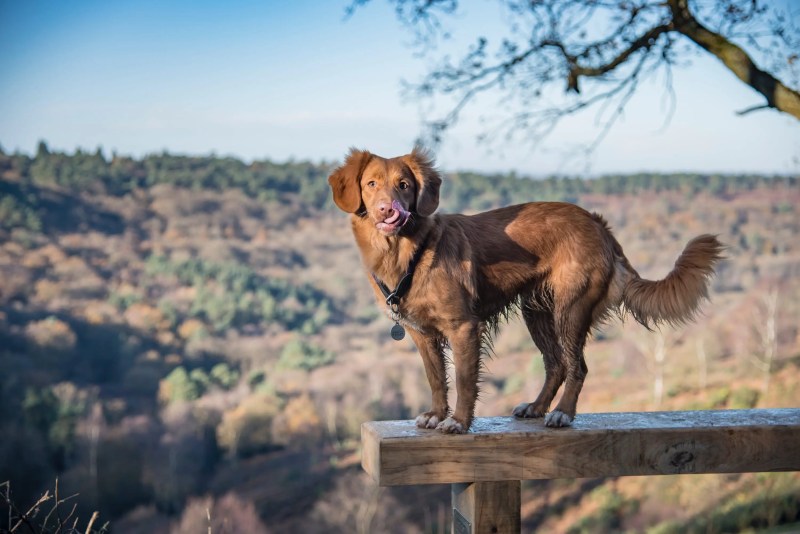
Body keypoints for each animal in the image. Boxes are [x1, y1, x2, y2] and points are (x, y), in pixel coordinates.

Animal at [326, 148, 724, 436]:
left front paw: (458, 422)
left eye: (405, 185)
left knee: (576, 366)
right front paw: (437, 414)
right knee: (556, 365)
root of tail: (600, 225)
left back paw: (562, 413)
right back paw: (536, 407)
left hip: (570, 309)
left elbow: (465, 380)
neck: (410, 252)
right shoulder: (421, 334)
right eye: (371, 183)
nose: (387, 210)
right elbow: (436, 378)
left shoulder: (464, 327)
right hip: (537, 313)